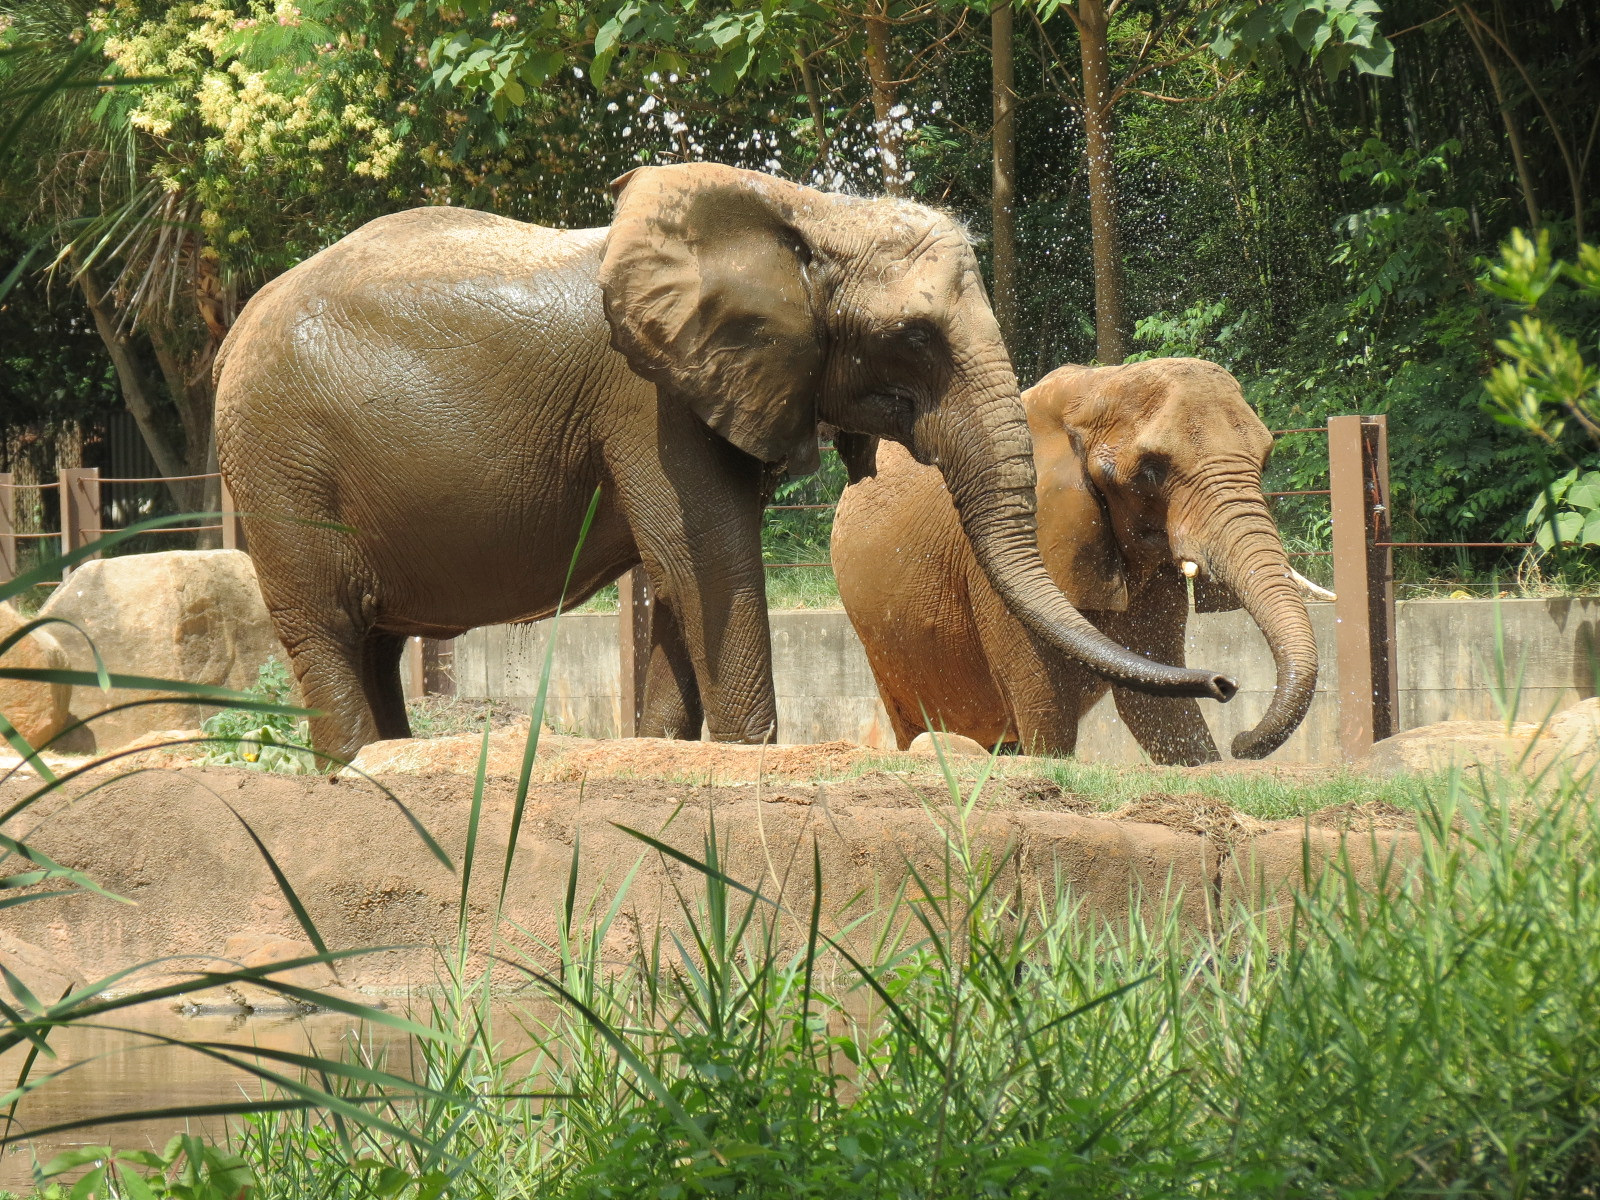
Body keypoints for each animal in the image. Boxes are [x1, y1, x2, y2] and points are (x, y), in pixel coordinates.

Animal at [215, 163, 1236, 762]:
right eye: (915, 338)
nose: (1225, 682)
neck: (806, 216)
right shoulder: (648, 401)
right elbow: (708, 565)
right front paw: (747, 761)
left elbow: (681, 584)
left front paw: (676, 759)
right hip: (279, 466)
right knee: (326, 629)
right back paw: (358, 768)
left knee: (375, 641)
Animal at [832, 358, 1320, 764]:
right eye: (1150, 471)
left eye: (1265, 460)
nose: (1226, 687)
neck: (1097, 386)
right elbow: (1046, 705)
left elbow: (1155, 708)